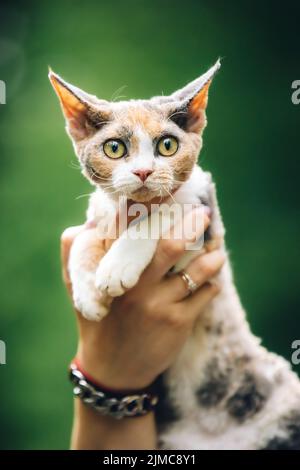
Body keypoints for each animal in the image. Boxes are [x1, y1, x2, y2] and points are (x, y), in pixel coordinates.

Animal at [49, 60, 300, 450]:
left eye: (167, 145)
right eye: (115, 148)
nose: (143, 171)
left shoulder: (207, 215)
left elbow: (168, 209)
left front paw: (116, 267)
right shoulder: (97, 215)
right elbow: (82, 239)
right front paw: (88, 294)